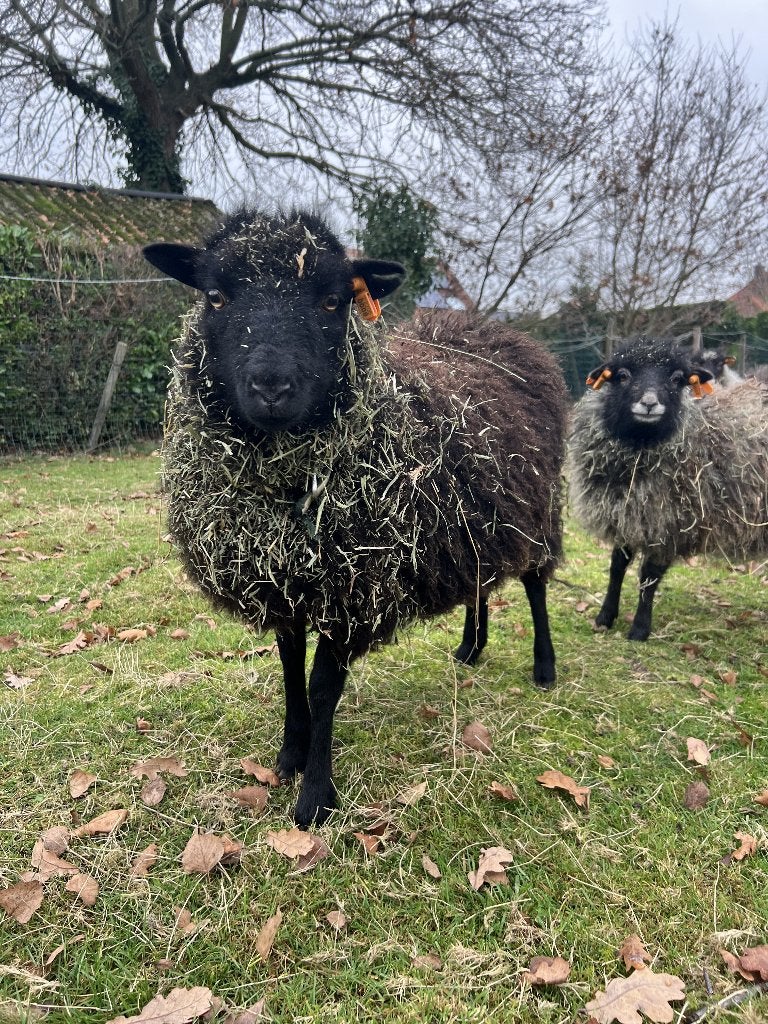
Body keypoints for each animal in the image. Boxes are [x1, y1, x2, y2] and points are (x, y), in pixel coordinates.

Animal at [143, 208, 568, 826]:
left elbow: (323, 688)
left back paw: (544, 667)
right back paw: (470, 649)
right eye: (215, 296)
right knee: (480, 584)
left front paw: (315, 798)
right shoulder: (285, 584)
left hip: (540, 511)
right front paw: (289, 754)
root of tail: (496, 331)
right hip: (474, 523)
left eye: (332, 301)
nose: (272, 387)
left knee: (536, 584)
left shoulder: (351, 592)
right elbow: (289, 669)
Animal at [566, 336, 768, 642]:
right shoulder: (628, 513)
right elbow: (616, 567)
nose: (649, 403)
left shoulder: (668, 521)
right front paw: (605, 617)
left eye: (676, 379)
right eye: (622, 375)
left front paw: (639, 629)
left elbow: (649, 577)